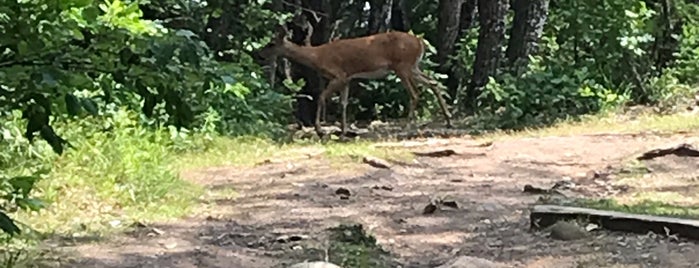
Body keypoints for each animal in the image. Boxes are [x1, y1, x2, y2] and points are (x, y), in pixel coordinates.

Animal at [258, 23, 454, 136]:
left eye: (271, 44)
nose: (259, 54)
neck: (318, 56)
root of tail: (420, 43)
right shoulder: (346, 79)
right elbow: (343, 103)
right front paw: (344, 130)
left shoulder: (338, 75)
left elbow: (321, 97)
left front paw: (320, 129)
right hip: (413, 67)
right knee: (434, 83)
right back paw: (448, 120)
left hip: (402, 66)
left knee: (414, 93)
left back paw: (407, 127)